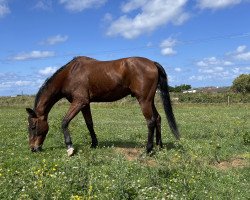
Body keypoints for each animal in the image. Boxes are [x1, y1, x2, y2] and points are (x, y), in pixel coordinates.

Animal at [25, 55, 180, 155]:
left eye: (33, 127)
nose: (33, 148)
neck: (70, 74)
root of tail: (152, 63)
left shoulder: (79, 102)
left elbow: (64, 122)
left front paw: (70, 147)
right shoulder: (85, 104)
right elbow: (89, 124)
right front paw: (94, 144)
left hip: (144, 100)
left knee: (151, 121)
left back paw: (148, 150)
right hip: (149, 100)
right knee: (158, 118)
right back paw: (159, 145)